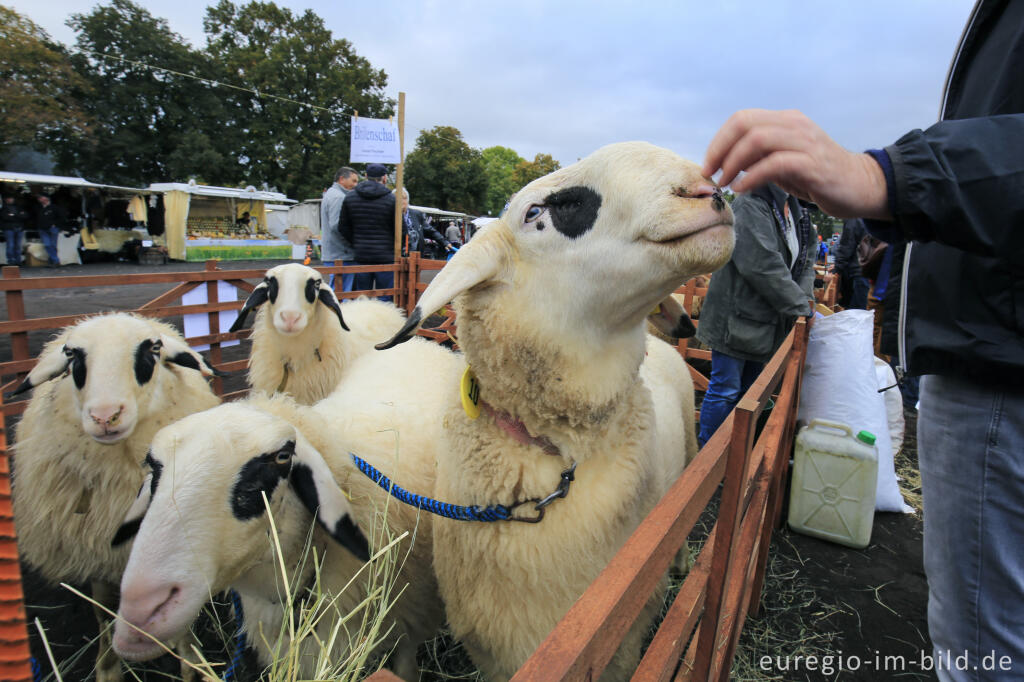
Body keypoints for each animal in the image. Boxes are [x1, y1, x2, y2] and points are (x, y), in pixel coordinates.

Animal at [9, 311, 222, 679]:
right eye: (72, 355)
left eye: (152, 349)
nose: (105, 416)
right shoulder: (95, 550)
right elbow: (105, 612)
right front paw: (108, 667)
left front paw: (192, 664)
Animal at [109, 335, 460, 679]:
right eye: (154, 467)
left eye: (281, 457)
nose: (142, 608)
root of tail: (420, 342)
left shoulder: (413, 612)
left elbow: (405, 663)